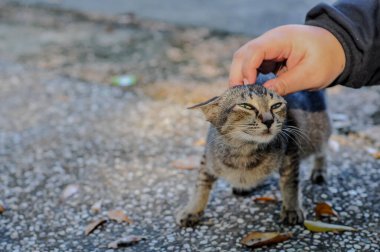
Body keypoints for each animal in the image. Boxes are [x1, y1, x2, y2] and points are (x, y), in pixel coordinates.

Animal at [177, 74, 332, 226]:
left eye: (276, 105)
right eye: (246, 106)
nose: (269, 120)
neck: (244, 151)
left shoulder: (291, 150)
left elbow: (290, 183)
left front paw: (291, 209)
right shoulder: (207, 158)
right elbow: (201, 184)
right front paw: (193, 210)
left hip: (316, 135)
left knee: (323, 151)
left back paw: (319, 171)